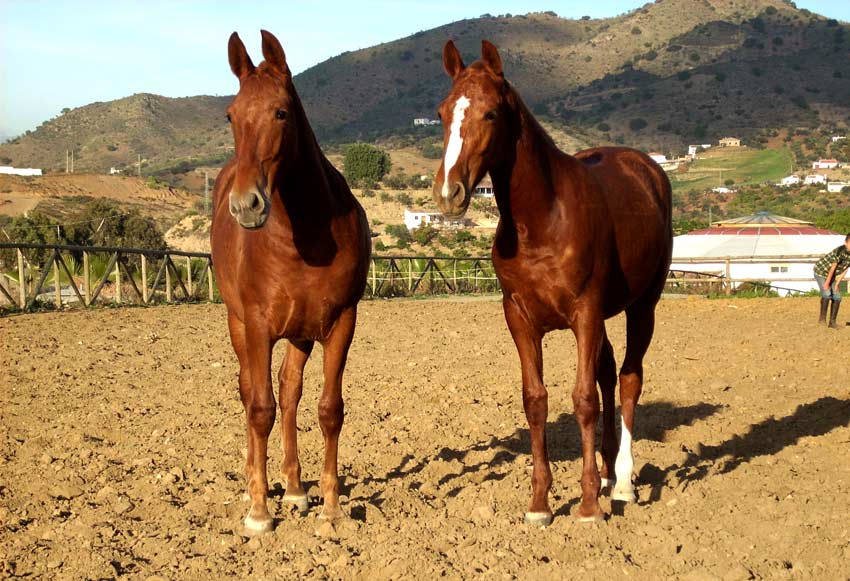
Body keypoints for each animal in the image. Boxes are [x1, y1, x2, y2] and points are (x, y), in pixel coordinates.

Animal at [209, 29, 368, 532]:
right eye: (230, 115)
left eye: (281, 112)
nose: (246, 205)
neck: (305, 237)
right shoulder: (259, 325)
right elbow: (260, 408)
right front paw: (260, 512)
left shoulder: (341, 323)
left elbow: (328, 409)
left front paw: (332, 508)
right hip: (239, 324)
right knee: (251, 392)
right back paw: (252, 485)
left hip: (300, 333)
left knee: (290, 391)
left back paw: (296, 488)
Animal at [434, 39, 672, 520]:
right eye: (442, 112)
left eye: (490, 113)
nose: (449, 193)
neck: (543, 220)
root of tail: (647, 168)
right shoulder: (520, 317)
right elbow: (536, 400)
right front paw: (541, 502)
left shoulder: (585, 312)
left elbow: (583, 399)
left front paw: (588, 504)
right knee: (607, 373)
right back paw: (608, 473)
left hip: (643, 307)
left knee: (629, 378)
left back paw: (622, 484)